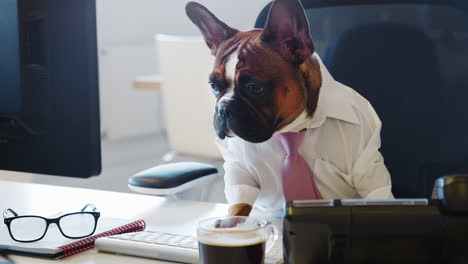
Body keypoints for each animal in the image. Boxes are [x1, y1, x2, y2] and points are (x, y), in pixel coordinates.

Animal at [185, 0, 324, 217]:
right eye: (213, 86)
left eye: (254, 87)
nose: (223, 108)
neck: (293, 130)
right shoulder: (239, 171)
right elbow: (239, 203)